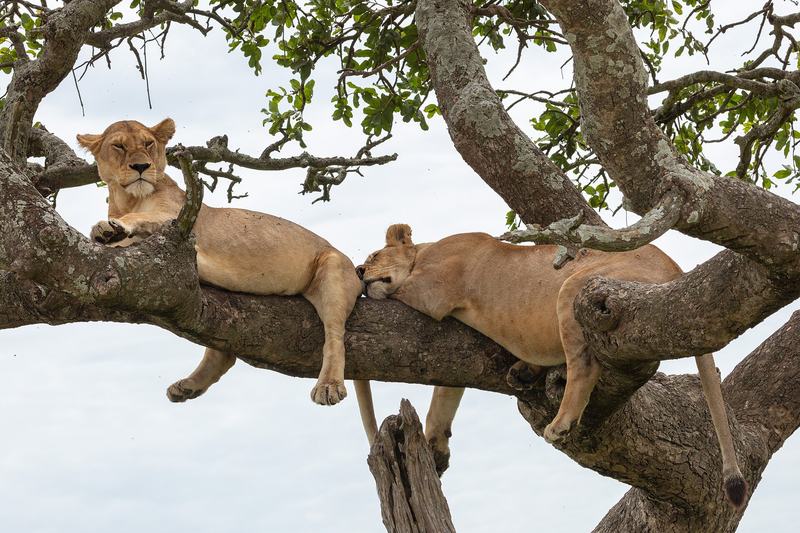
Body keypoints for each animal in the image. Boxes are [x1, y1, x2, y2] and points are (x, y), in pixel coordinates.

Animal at [77, 119, 376, 437]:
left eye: (148, 144)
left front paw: (111, 228)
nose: (141, 167)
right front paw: (106, 233)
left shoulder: (175, 221)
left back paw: (329, 386)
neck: (127, 200)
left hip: (332, 270)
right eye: (119, 146)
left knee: (335, 336)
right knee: (223, 352)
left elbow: (137, 224)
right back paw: (187, 387)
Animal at [356, 224, 748, 507]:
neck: (424, 251)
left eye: (374, 254)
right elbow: (443, 400)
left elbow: (397, 289)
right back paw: (526, 372)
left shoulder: (432, 292)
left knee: (584, 366)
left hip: (578, 288)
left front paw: (370, 286)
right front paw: (436, 449)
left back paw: (561, 422)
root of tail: (677, 268)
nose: (359, 270)